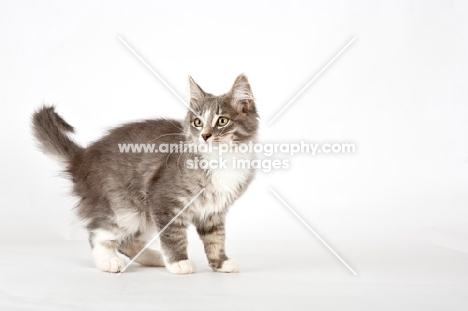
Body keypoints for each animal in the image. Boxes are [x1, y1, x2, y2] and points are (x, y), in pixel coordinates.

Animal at [32, 74, 260, 274]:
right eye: (197, 122)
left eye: (222, 121)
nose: (204, 136)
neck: (222, 159)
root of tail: (82, 158)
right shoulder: (164, 200)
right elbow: (174, 236)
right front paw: (179, 262)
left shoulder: (214, 210)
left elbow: (215, 238)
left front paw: (220, 263)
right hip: (123, 208)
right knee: (98, 232)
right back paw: (109, 261)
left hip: (144, 215)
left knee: (127, 241)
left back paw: (155, 258)